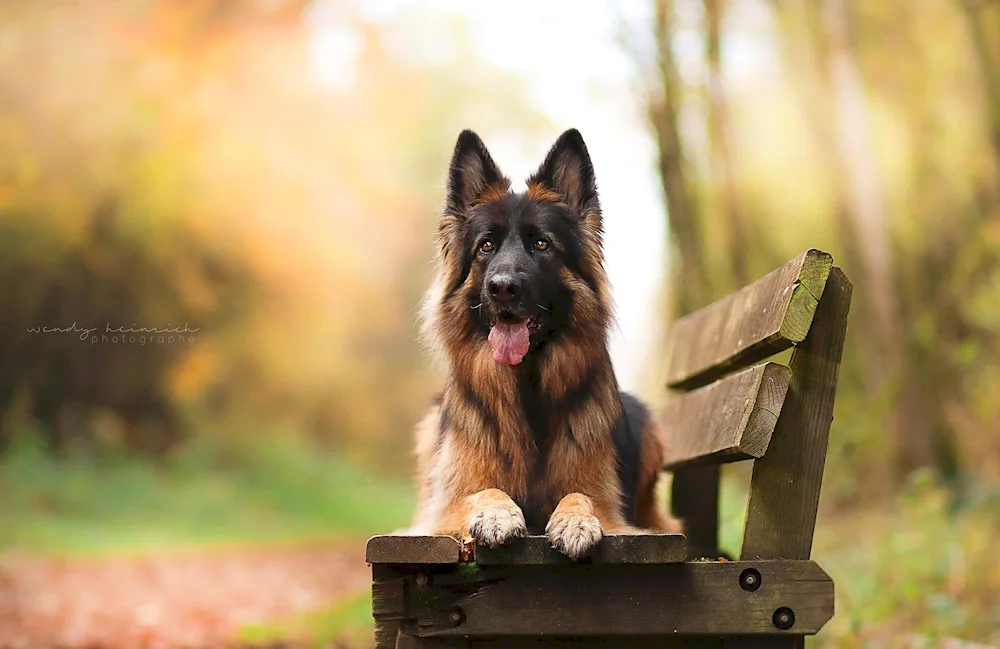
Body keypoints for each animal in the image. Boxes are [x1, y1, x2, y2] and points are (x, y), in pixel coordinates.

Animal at [406, 129, 680, 560]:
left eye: (542, 245)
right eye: (486, 246)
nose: (502, 288)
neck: (528, 386)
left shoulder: (607, 503)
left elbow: (581, 495)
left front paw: (576, 520)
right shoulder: (446, 508)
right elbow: (480, 491)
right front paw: (497, 513)